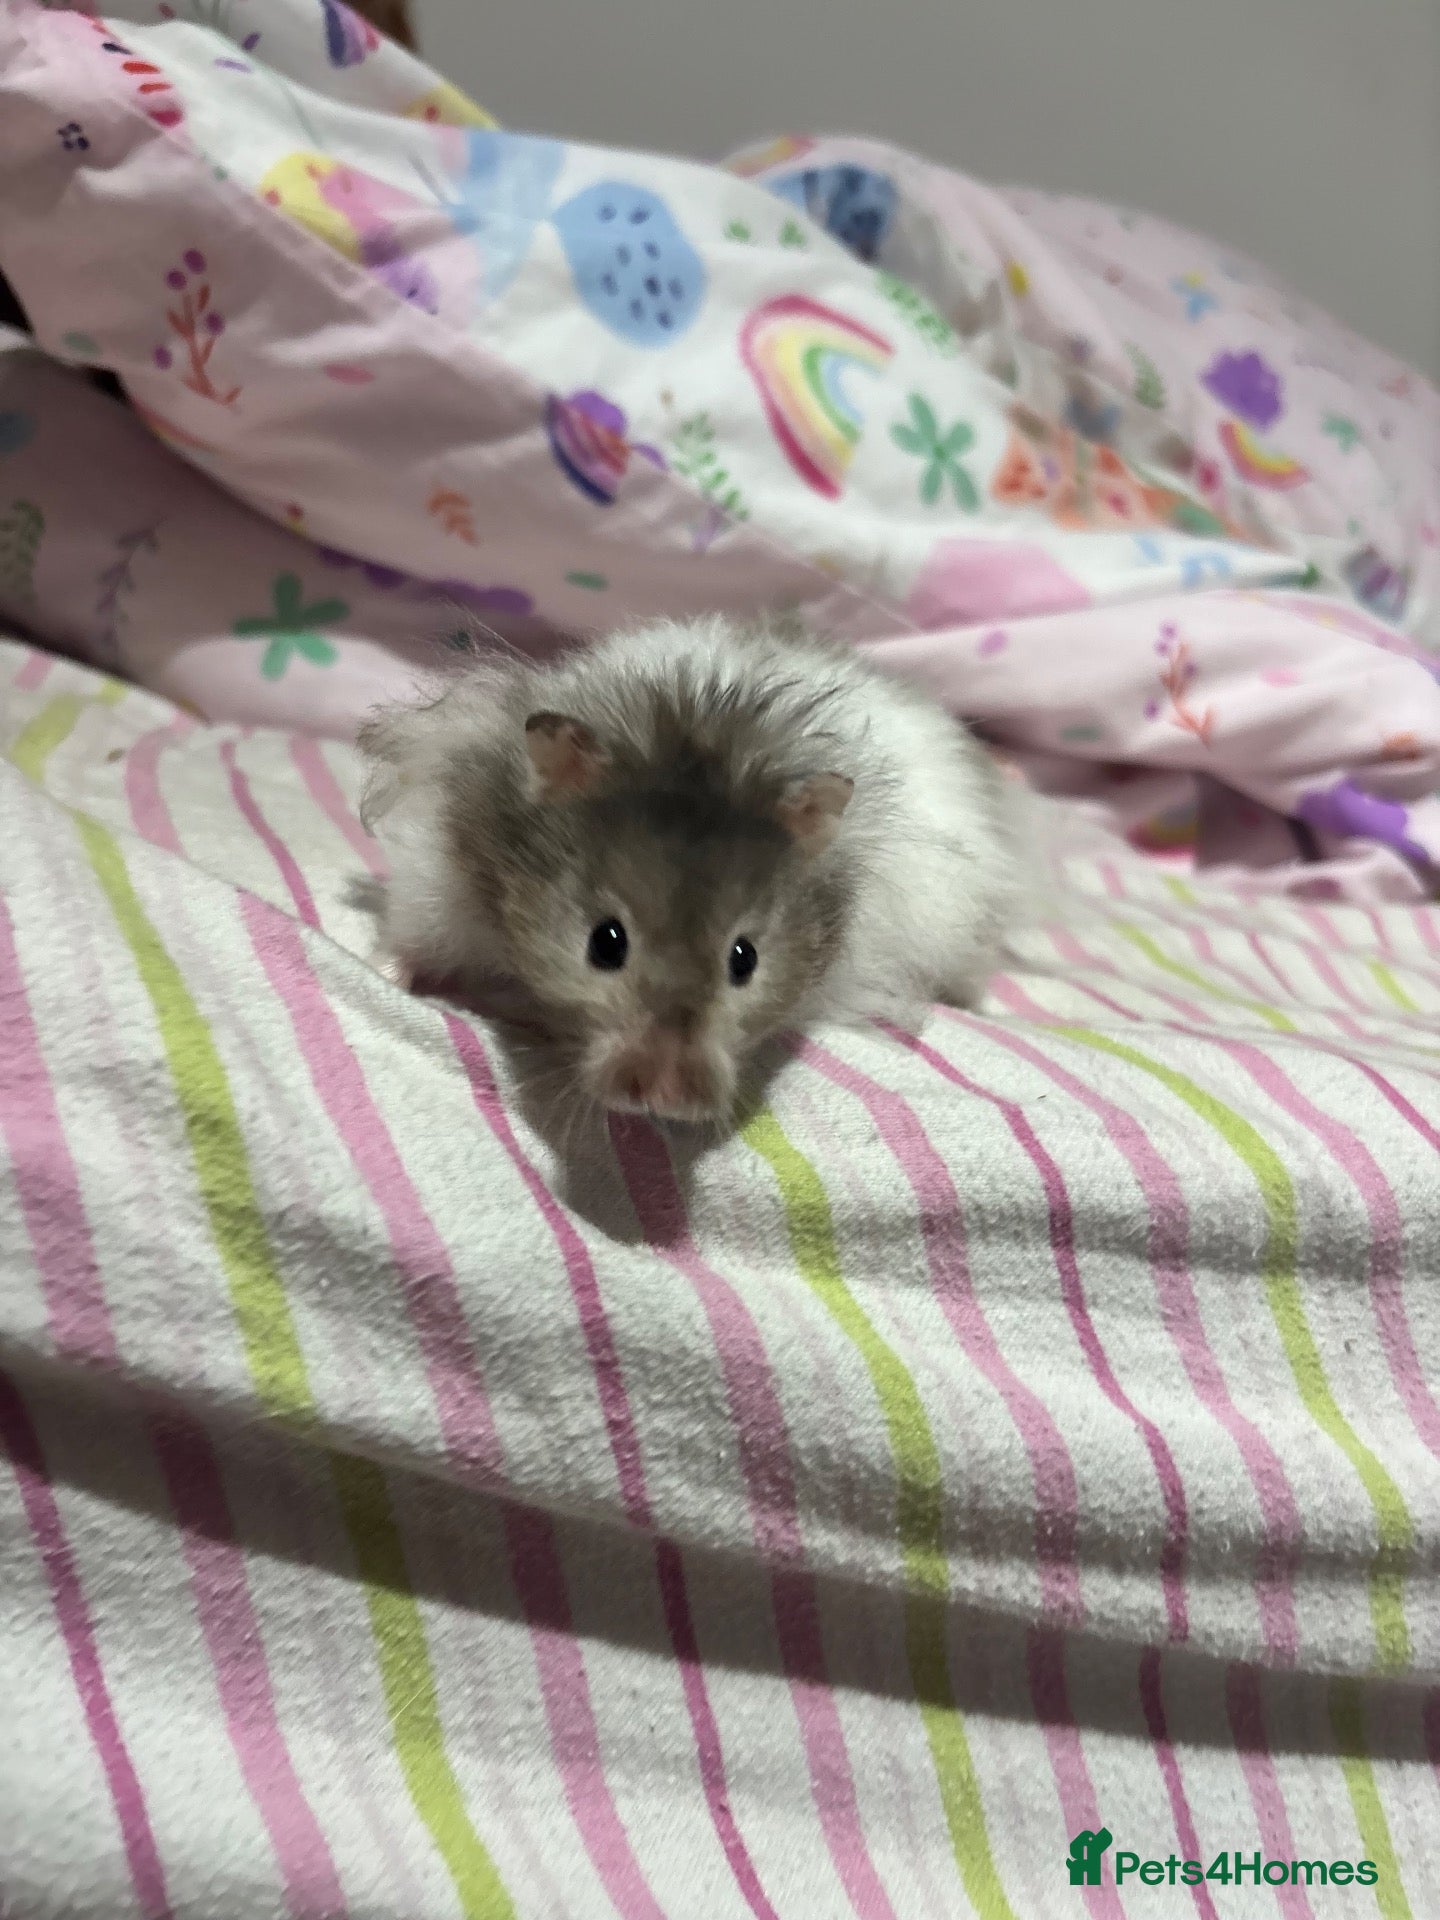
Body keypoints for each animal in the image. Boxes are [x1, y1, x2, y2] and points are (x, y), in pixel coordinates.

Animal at [358, 615, 1027, 1124]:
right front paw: (379, 976)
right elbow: (409, 942)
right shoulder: (439, 879)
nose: (666, 1101)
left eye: (744, 960)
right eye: (605, 943)